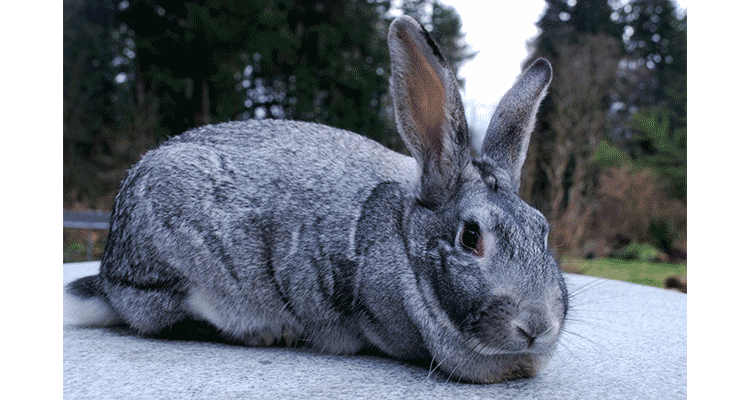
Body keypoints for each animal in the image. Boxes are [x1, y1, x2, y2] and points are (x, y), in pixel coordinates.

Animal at [64, 16, 568, 384]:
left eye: (543, 231)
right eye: (470, 237)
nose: (537, 326)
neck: (405, 243)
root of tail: (109, 269)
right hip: (175, 270)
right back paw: (274, 333)